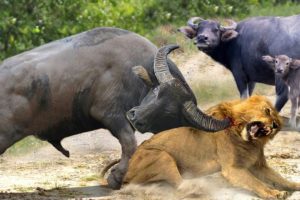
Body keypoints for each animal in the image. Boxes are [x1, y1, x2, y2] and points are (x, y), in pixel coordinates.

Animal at [0, 27, 229, 189]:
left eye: (170, 112)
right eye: (157, 91)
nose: (136, 117)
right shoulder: (112, 115)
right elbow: (129, 144)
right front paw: (117, 177)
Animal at [117, 95, 300, 198]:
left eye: (277, 123)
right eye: (267, 111)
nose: (274, 125)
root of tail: (126, 176)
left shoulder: (258, 165)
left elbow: (279, 179)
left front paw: (294, 186)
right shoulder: (232, 169)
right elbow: (256, 183)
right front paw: (274, 193)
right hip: (162, 156)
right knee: (181, 186)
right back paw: (198, 189)